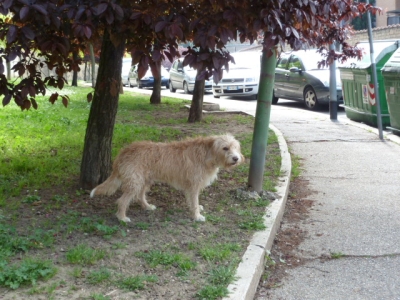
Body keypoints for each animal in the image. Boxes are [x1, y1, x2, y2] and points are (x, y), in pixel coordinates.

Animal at [91, 135, 245, 221]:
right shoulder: (193, 185)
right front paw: (196, 216)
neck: (207, 154)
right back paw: (122, 218)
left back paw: (147, 206)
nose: (236, 158)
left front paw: (197, 209)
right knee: (122, 201)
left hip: (145, 181)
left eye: (235, 147)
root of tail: (125, 151)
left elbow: (193, 201)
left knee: (140, 196)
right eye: (225, 148)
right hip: (135, 182)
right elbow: (194, 202)